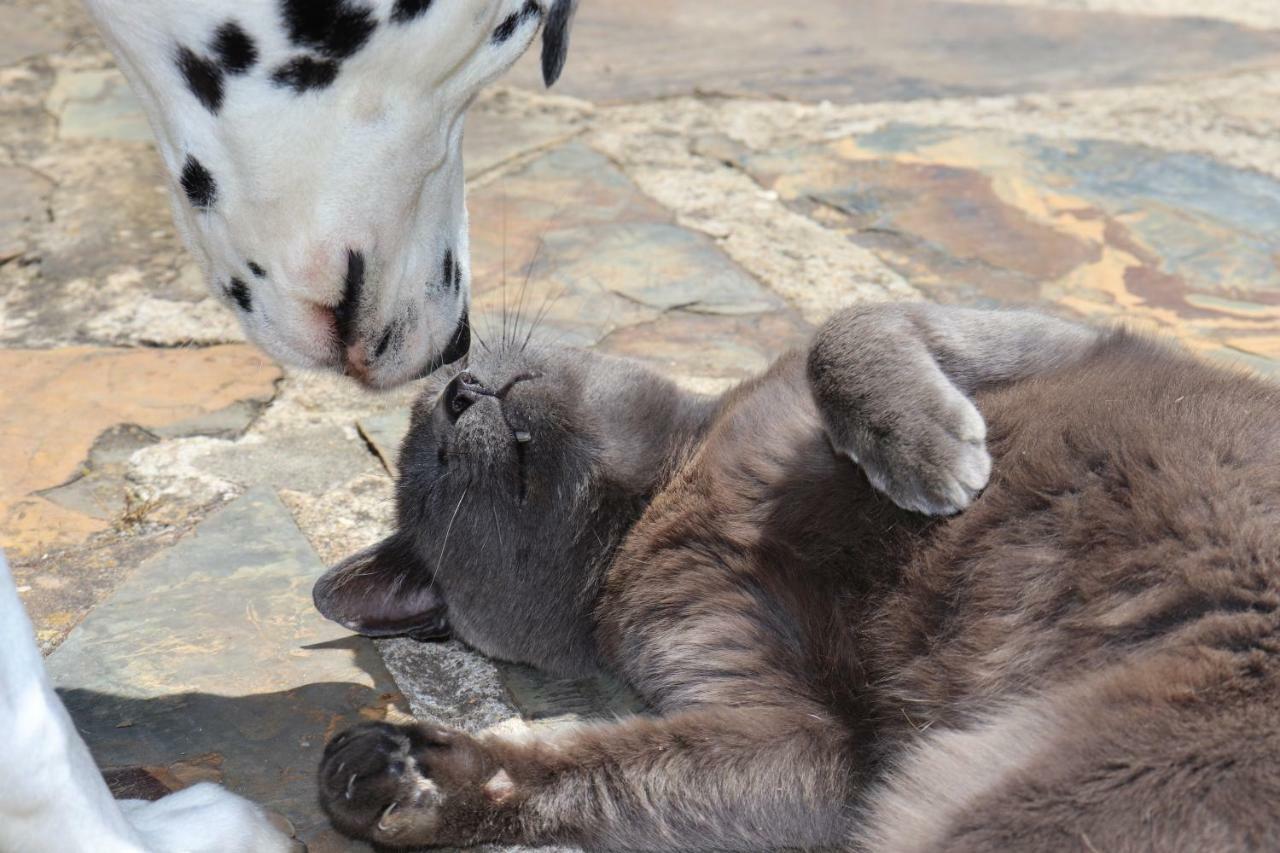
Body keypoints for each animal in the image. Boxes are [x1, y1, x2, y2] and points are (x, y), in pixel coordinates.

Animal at [309, 302, 1280, 845]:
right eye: (437, 465)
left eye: (445, 398)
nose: (462, 390)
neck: (670, 482)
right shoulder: (797, 729)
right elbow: (608, 764)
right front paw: (410, 780)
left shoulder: (1059, 336)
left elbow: (848, 327)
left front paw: (933, 457)